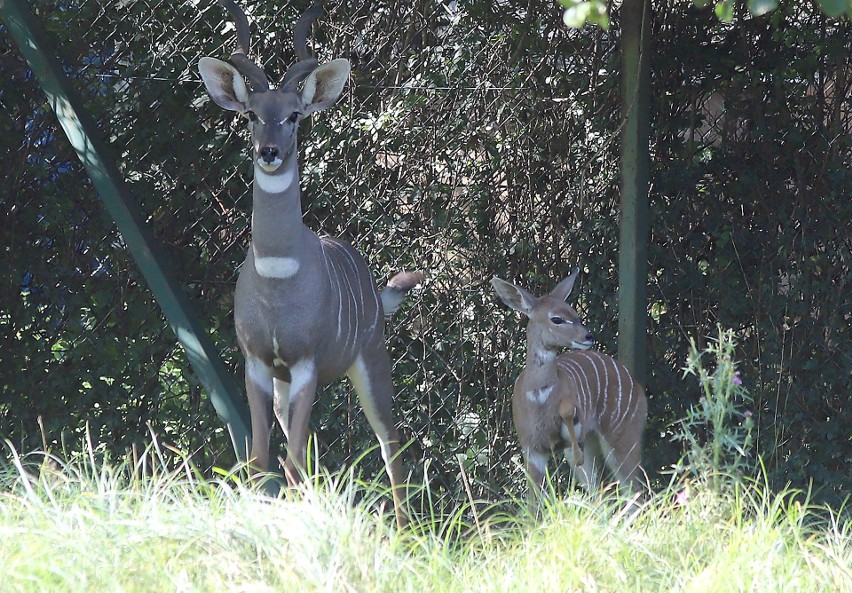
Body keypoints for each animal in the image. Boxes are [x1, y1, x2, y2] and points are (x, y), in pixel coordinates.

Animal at [201, 0, 426, 528]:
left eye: (295, 116)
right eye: (251, 115)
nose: (269, 152)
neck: (279, 274)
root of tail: (377, 293)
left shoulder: (305, 363)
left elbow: (291, 461)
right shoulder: (258, 364)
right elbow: (261, 459)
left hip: (370, 362)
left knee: (389, 446)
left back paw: (406, 531)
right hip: (288, 385)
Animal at [492, 272, 644, 500]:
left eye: (575, 314)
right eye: (557, 319)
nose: (588, 336)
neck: (538, 396)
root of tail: (639, 389)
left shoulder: (571, 442)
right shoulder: (532, 448)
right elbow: (534, 502)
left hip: (622, 436)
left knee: (635, 491)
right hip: (594, 443)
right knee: (600, 492)